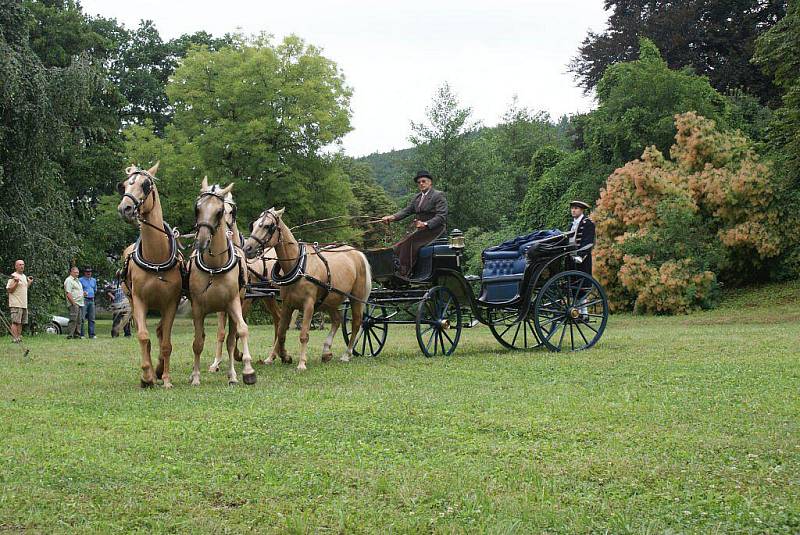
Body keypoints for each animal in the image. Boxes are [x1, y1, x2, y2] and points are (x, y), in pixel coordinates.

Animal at [117, 163, 183, 390]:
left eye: (146, 185)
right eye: (124, 185)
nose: (125, 208)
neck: (156, 258)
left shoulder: (171, 303)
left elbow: (166, 342)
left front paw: (166, 378)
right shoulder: (139, 301)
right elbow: (144, 337)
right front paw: (147, 376)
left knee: (162, 332)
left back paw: (160, 369)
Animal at [186, 180, 255, 386]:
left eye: (220, 211)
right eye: (197, 208)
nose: (201, 241)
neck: (214, 266)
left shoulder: (234, 303)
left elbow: (241, 332)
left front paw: (245, 371)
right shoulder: (197, 307)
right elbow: (198, 342)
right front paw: (196, 376)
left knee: (230, 338)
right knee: (214, 335)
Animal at [208, 193, 282, 372]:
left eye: (231, 211)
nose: (223, 230)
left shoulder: (245, 301)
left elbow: (236, 329)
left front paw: (238, 355)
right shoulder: (221, 306)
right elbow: (221, 332)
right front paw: (216, 362)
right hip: (268, 296)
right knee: (278, 318)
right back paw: (277, 354)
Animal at [244, 207, 372, 370]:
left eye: (268, 226)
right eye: (253, 225)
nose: (247, 248)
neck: (298, 266)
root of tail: (357, 252)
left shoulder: (309, 305)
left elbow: (304, 334)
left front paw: (301, 363)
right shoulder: (287, 304)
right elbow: (281, 332)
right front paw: (274, 357)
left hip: (356, 298)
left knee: (356, 323)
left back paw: (346, 354)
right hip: (329, 299)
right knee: (336, 320)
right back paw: (326, 351)